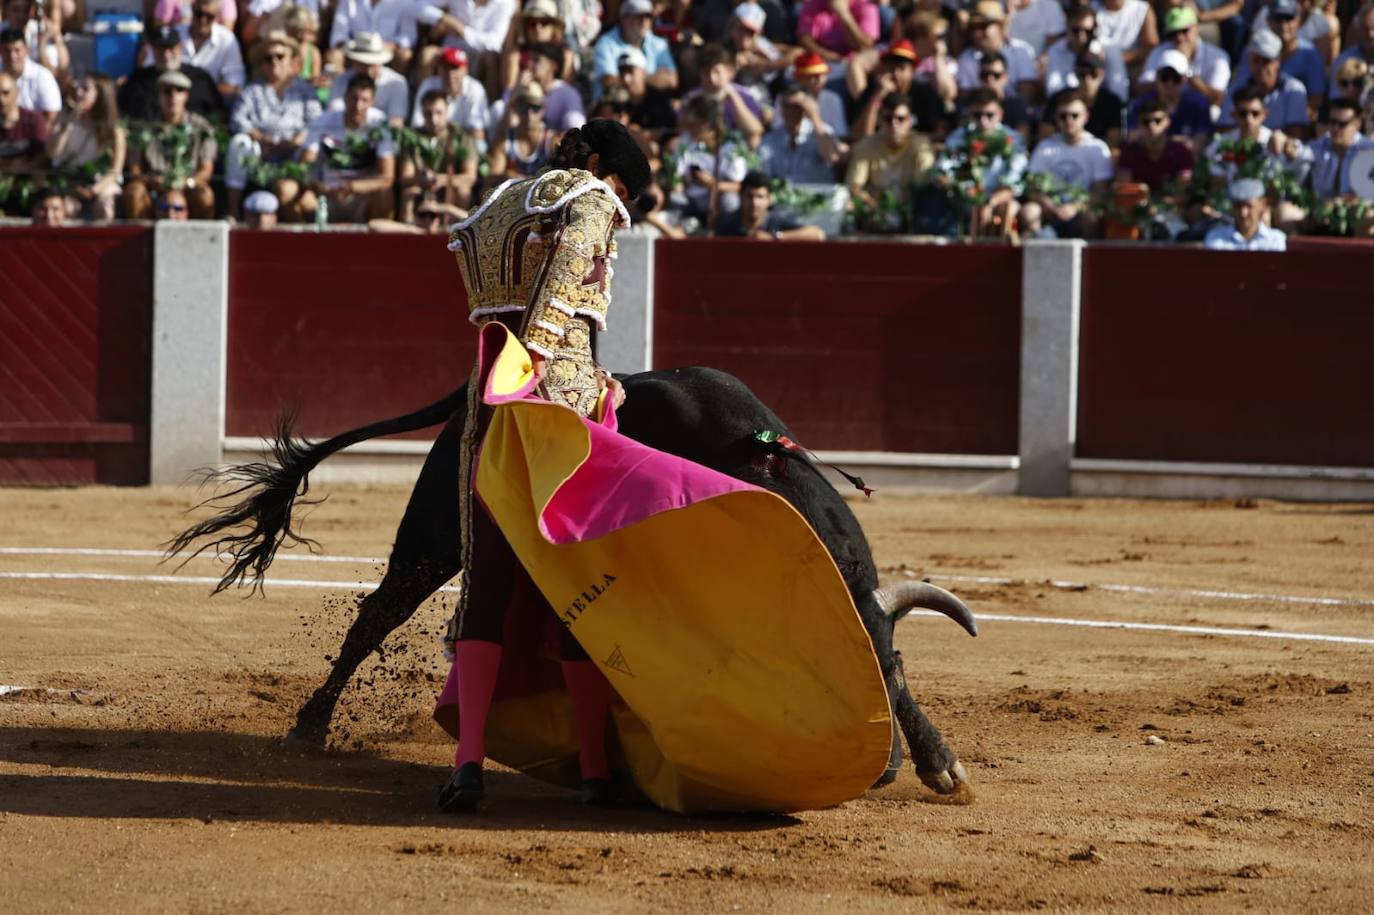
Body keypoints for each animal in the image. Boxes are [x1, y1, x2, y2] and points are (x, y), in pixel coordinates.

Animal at [171, 362, 978, 791]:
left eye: (890, 670)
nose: (883, 771)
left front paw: (943, 765)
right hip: (433, 535)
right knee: (376, 616)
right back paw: (309, 726)